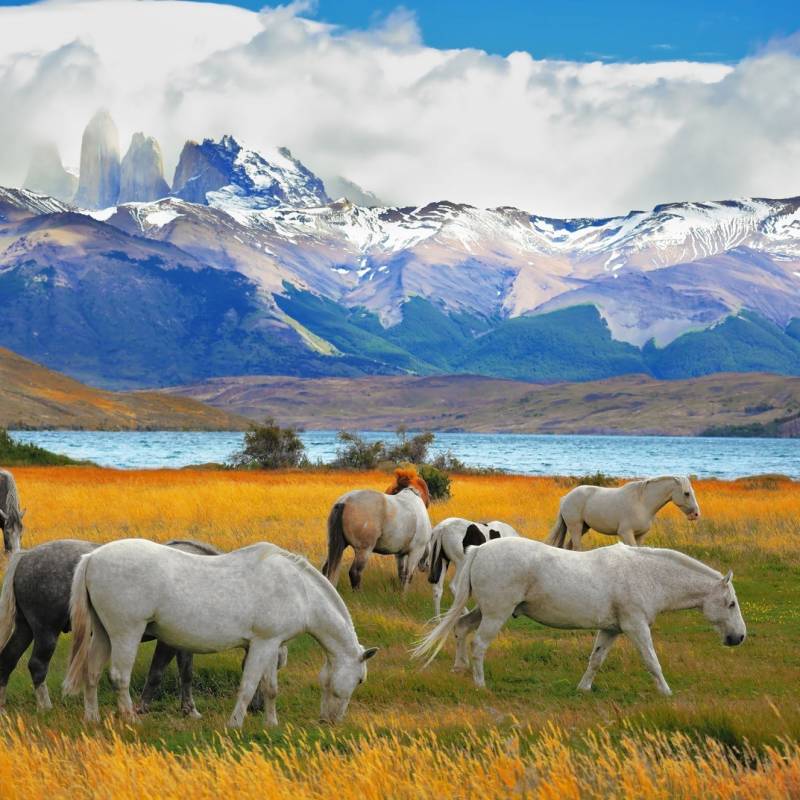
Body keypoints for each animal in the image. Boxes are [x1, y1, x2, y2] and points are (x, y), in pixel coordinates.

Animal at [62, 540, 376, 728]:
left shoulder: (271, 644)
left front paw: (271, 724)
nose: (331, 721)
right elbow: (248, 686)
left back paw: (92, 718)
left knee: (92, 673)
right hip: (126, 633)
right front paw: (234, 724)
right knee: (119, 677)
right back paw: (130, 719)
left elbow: (269, 688)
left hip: (103, 633)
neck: (300, 589)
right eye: (360, 680)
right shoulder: (262, 644)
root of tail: (93, 557)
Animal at [416, 536, 748, 692]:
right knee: (479, 645)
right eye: (731, 604)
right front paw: (666, 692)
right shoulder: (636, 626)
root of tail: (479, 550)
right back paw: (480, 683)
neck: (646, 574)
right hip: (497, 613)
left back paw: (459, 669)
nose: (739, 637)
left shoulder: (611, 629)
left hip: (485, 610)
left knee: (461, 628)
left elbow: (596, 660)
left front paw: (584, 688)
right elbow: (652, 661)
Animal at [544, 476, 700, 552]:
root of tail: (566, 498)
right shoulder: (626, 533)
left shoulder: (640, 535)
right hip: (575, 527)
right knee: (576, 547)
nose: (696, 514)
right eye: (686, 493)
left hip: (583, 528)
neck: (642, 503)